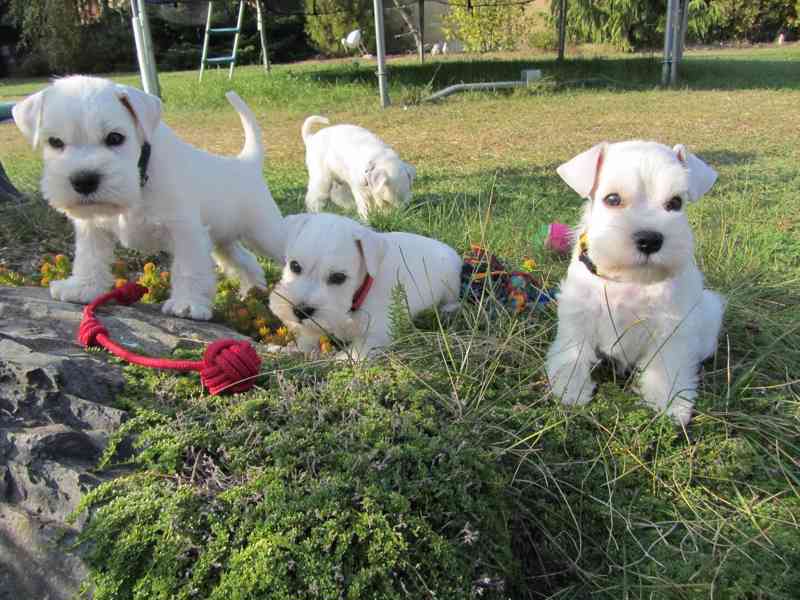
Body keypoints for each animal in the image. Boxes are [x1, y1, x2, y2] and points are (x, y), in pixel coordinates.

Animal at [12, 76, 284, 318]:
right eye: (55, 142)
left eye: (115, 137)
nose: (84, 181)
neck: (140, 176)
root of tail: (247, 163)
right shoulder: (93, 227)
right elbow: (89, 258)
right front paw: (83, 287)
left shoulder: (186, 231)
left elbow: (189, 268)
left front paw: (187, 304)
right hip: (222, 240)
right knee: (246, 260)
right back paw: (253, 290)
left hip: (265, 233)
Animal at [268, 212, 460, 358]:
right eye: (294, 266)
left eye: (338, 277)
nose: (300, 311)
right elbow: (308, 337)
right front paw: (290, 349)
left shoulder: (377, 334)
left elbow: (354, 353)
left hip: (450, 285)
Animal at [544, 139, 724, 426]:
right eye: (612, 199)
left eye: (675, 202)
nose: (650, 240)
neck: (628, 279)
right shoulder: (579, 316)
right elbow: (573, 353)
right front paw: (570, 388)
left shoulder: (670, 328)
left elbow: (668, 366)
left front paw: (670, 403)